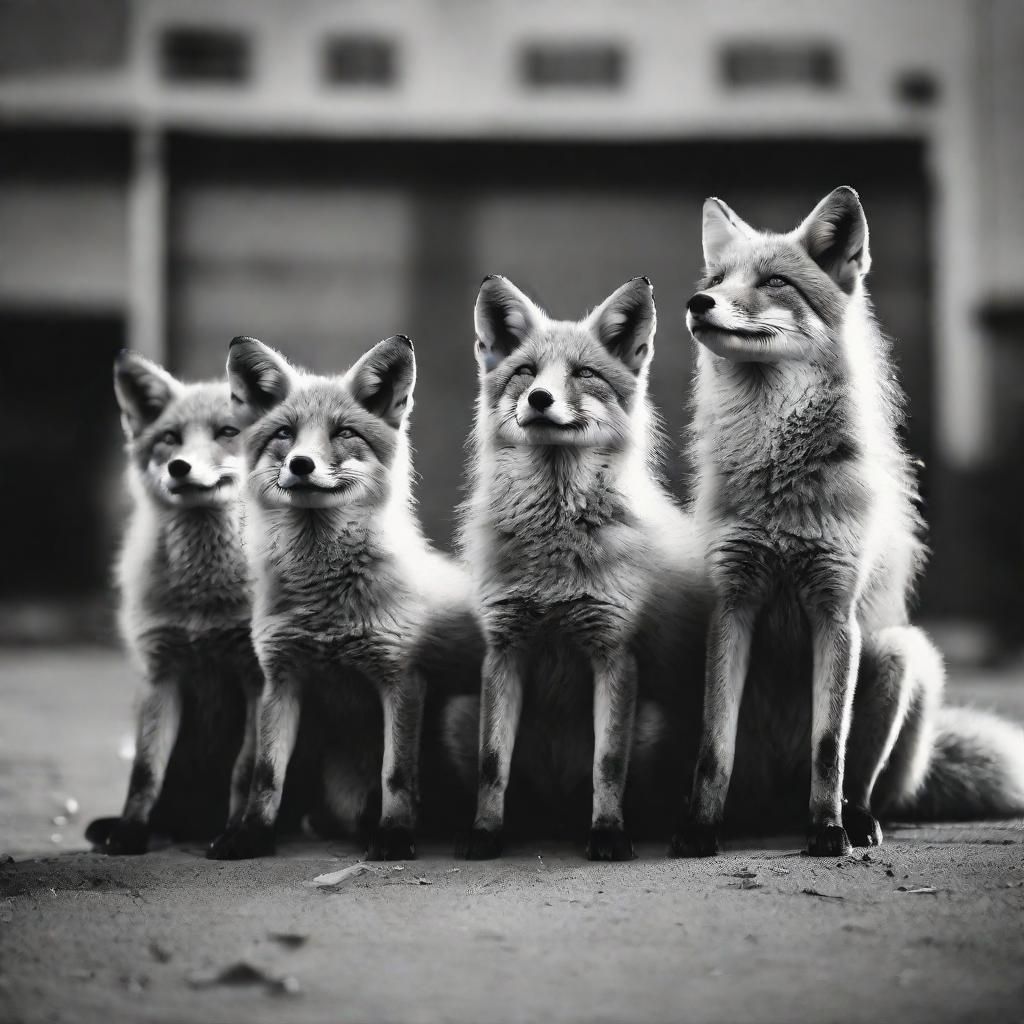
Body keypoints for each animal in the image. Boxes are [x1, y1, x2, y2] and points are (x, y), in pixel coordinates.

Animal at [86, 352, 262, 854]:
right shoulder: (160, 674)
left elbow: (245, 771)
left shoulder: (256, 678)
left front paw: (237, 834)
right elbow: (145, 772)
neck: (204, 596)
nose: (180, 467)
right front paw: (129, 834)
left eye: (227, 431)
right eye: (169, 438)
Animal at [207, 334, 483, 861]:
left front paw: (394, 836)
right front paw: (250, 836)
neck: (326, 607)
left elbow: (397, 774)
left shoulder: (401, 678)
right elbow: (265, 775)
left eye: (344, 433)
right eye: (285, 434)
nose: (301, 464)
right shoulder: (280, 679)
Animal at [455, 275, 708, 861]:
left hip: (655, 724)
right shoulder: (503, 649)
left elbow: (608, 763)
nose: (539, 398)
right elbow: (491, 764)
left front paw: (609, 833)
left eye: (584, 373)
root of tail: (555, 812)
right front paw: (484, 834)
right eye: (526, 371)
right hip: (460, 713)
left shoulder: (613, 651)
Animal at [673, 186, 1024, 859]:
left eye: (775, 282)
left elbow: (829, 746)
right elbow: (711, 745)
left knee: (863, 779)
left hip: (896, 653)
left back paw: (856, 822)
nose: (697, 302)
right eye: (716, 281)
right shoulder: (733, 604)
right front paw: (699, 829)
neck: (778, 484)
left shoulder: (834, 610)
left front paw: (826, 831)